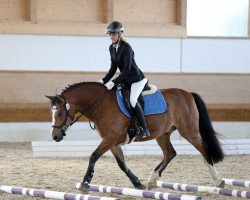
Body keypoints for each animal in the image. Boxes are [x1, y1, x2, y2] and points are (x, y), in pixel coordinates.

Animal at [46, 81, 226, 192]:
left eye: (60, 113)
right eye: (52, 113)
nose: (55, 136)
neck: (100, 104)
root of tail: (187, 93)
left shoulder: (110, 138)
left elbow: (93, 156)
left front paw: (85, 182)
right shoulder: (112, 142)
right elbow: (122, 164)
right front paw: (137, 183)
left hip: (189, 131)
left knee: (204, 150)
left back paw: (218, 180)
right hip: (162, 134)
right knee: (170, 153)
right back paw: (152, 180)